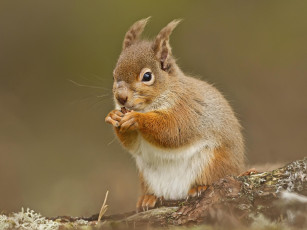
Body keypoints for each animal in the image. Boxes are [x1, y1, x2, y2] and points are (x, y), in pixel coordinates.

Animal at [106, 18, 245, 211]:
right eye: (113, 75)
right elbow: (132, 144)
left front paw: (137, 119)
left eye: (147, 76)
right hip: (146, 178)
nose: (120, 98)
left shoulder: (186, 109)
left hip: (213, 162)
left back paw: (200, 187)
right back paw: (148, 198)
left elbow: (173, 131)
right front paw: (113, 116)